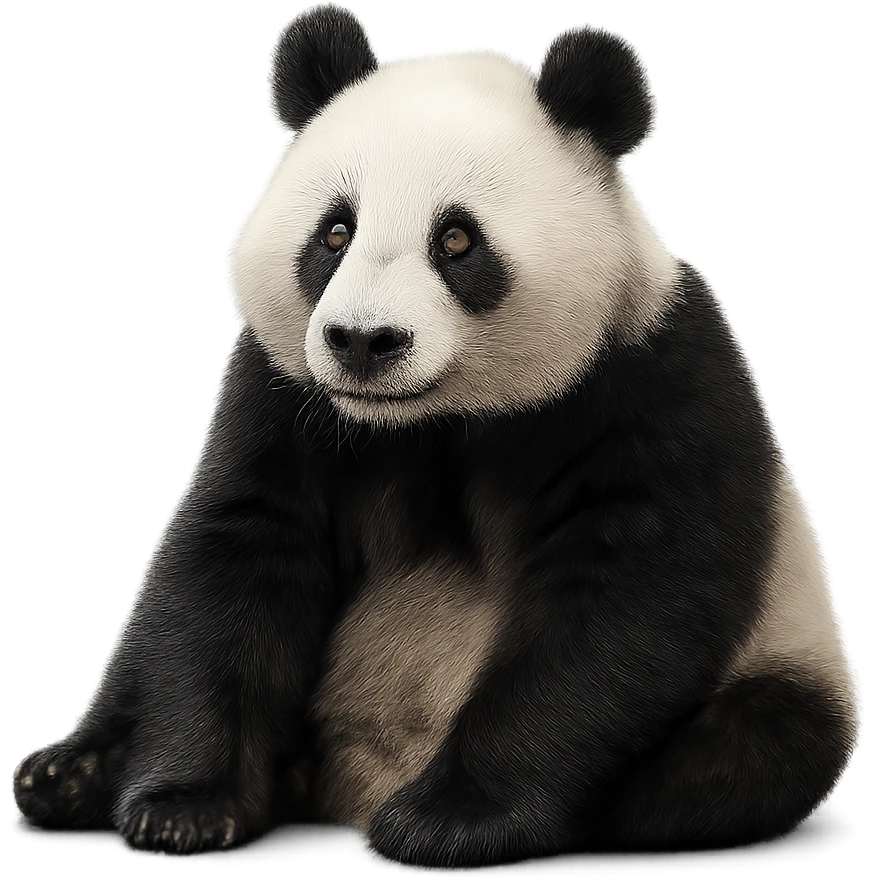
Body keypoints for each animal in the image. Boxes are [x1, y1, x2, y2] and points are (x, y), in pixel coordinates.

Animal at [12, 7, 860, 869]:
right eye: (335, 232)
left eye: (455, 241)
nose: (363, 341)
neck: (429, 420)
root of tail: (356, 783)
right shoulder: (283, 390)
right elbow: (239, 559)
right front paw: (183, 806)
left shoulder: (651, 377)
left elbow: (626, 592)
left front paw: (452, 820)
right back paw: (70, 776)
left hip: (788, 663)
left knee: (753, 747)